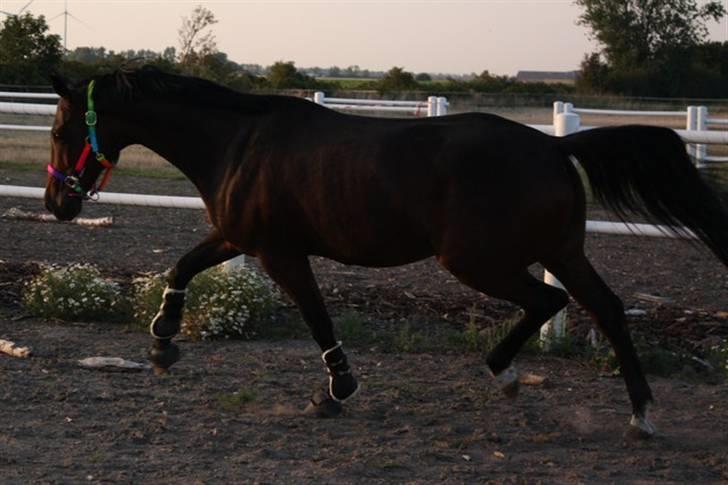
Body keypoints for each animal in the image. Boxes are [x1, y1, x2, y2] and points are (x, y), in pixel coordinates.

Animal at [47, 66, 728, 436]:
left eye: (59, 130)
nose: (58, 204)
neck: (239, 143)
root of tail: (553, 147)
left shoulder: (278, 253)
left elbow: (317, 317)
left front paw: (336, 390)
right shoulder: (240, 237)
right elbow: (182, 264)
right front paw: (163, 344)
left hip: (477, 260)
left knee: (548, 301)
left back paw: (506, 372)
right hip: (560, 250)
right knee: (605, 308)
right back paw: (640, 415)